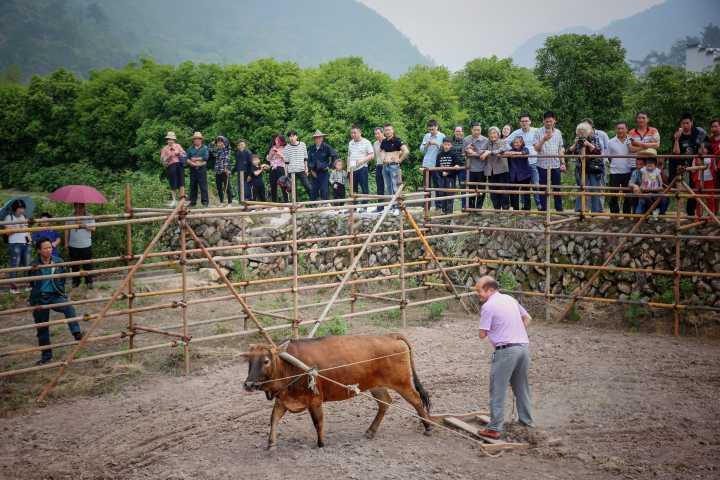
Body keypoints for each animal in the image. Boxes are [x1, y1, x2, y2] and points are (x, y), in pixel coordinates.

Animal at [242, 336, 434, 448]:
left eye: (266, 360)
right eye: (249, 361)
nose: (249, 384)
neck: (290, 367)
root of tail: (391, 336)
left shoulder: (315, 400)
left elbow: (318, 422)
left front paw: (321, 443)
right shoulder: (283, 399)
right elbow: (273, 419)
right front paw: (271, 443)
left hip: (402, 383)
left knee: (416, 400)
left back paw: (428, 427)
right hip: (377, 386)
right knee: (385, 403)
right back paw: (370, 431)